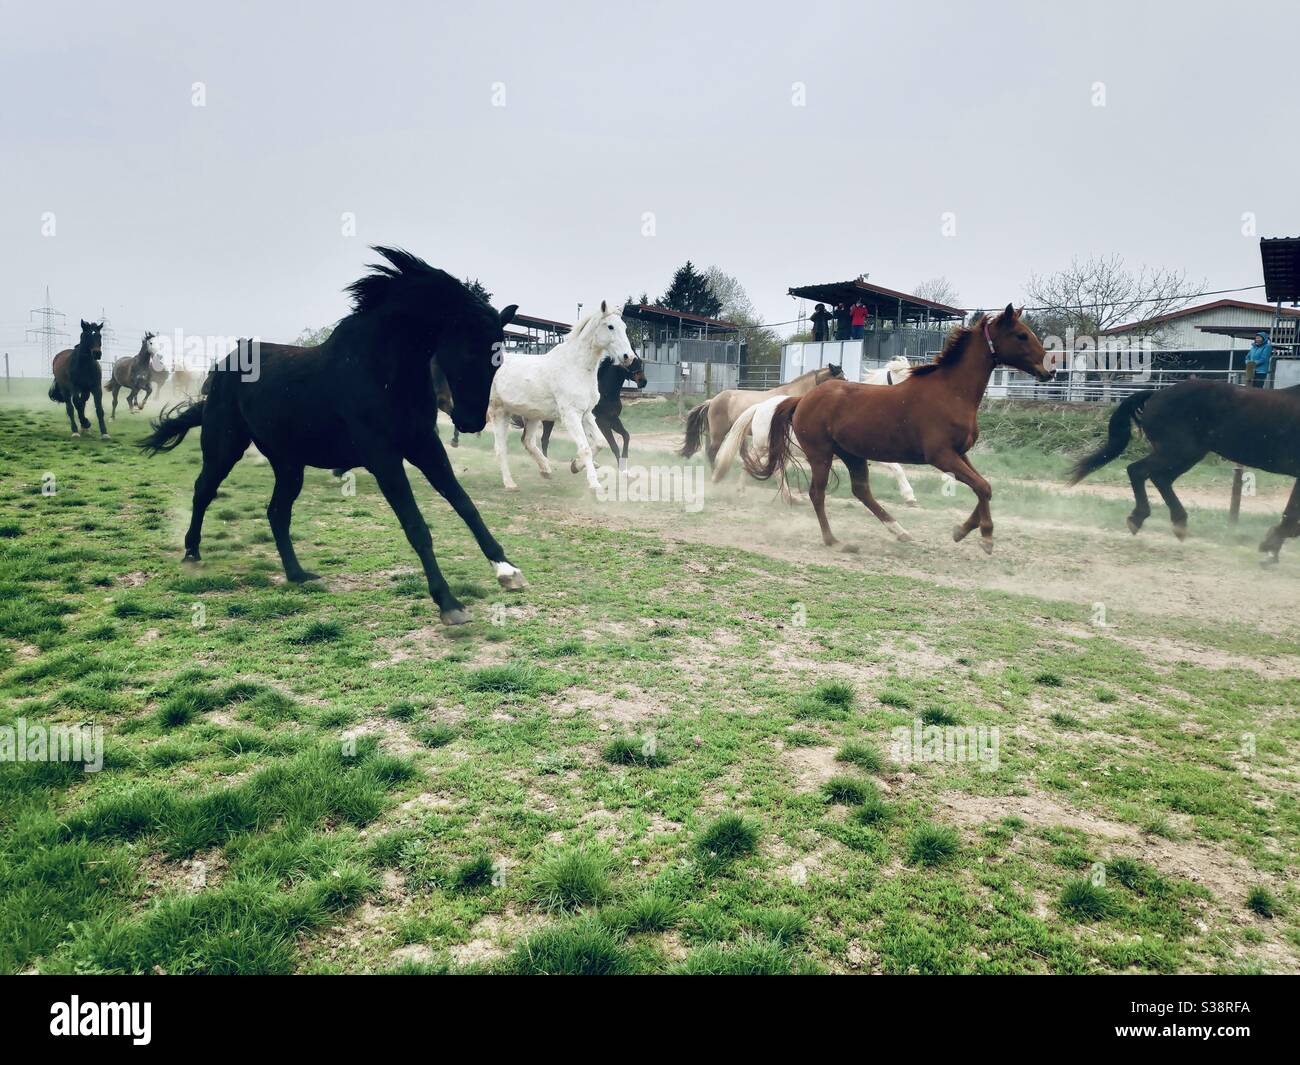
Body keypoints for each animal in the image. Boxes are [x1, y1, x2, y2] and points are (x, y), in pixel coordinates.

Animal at [139, 246, 524, 625]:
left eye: (499, 359)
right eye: (468, 351)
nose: (471, 421)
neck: (380, 370)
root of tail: (222, 368)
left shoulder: (424, 446)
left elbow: (465, 505)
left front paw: (507, 571)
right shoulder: (383, 457)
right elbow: (416, 525)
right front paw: (448, 602)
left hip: (288, 464)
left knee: (276, 512)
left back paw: (297, 574)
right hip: (225, 446)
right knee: (204, 490)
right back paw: (191, 552)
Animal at [487, 301, 636, 490]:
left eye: (624, 327)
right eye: (610, 326)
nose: (628, 357)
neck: (576, 367)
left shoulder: (587, 414)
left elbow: (600, 443)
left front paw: (575, 466)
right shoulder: (571, 415)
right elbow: (585, 448)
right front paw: (594, 484)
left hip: (532, 415)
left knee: (527, 441)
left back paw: (545, 469)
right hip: (499, 412)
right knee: (501, 448)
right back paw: (510, 483)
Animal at [712, 356, 919, 506]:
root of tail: (760, 407)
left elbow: (895, 468)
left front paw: (909, 496)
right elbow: (896, 467)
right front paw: (910, 496)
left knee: (769, 468)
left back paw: (788, 498)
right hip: (763, 446)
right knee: (750, 462)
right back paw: (743, 492)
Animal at [743, 306, 1052, 553]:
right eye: (1021, 335)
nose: (1049, 370)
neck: (951, 392)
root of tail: (803, 399)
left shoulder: (960, 453)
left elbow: (984, 487)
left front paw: (963, 530)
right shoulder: (941, 456)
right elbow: (982, 487)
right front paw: (986, 536)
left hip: (853, 454)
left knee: (861, 491)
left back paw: (900, 531)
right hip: (821, 454)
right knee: (817, 494)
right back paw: (833, 539)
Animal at [1068, 380, 1300, 564]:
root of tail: (1157, 394)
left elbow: (1292, 514)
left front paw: (1272, 548)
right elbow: (1291, 515)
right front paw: (1269, 547)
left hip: (1185, 455)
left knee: (1159, 478)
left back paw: (1177, 522)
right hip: (1179, 452)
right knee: (1138, 471)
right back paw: (1141, 519)